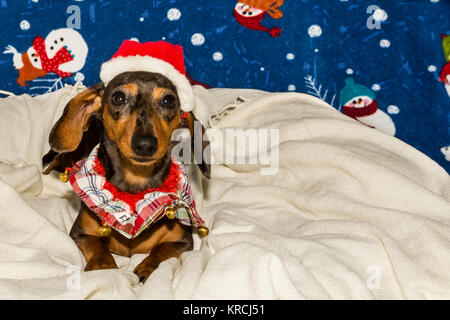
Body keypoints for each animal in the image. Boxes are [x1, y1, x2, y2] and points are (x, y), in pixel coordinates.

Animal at [42, 70, 209, 282]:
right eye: (118, 97)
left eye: (168, 100)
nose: (145, 144)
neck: (135, 184)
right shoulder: (81, 233)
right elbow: (97, 247)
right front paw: (102, 265)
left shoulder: (182, 241)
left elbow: (162, 249)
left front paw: (146, 267)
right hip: (71, 152)